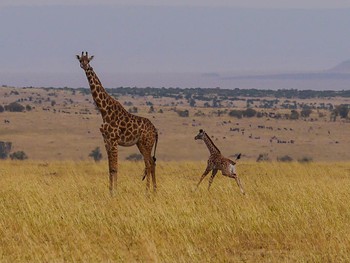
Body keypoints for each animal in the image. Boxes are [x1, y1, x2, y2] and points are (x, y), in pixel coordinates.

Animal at [77, 52, 159, 196]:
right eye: (80, 60)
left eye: (88, 60)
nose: (85, 65)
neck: (104, 111)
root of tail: (155, 131)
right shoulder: (106, 140)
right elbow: (110, 168)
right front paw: (110, 191)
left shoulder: (114, 140)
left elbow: (115, 167)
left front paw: (114, 192)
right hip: (141, 144)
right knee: (150, 163)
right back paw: (153, 191)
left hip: (147, 144)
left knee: (149, 164)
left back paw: (148, 191)